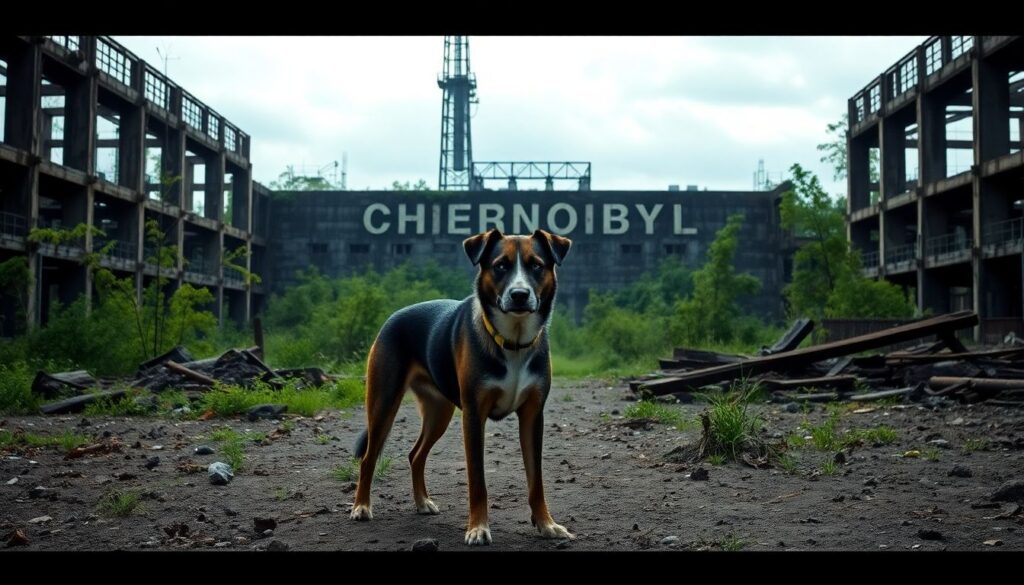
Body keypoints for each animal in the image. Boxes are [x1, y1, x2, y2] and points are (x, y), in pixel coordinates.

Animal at [350, 227, 577, 545]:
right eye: (500, 266)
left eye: (536, 265)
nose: (519, 295)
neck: (513, 342)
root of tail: (393, 317)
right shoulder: (473, 415)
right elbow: (477, 481)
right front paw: (478, 528)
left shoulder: (533, 415)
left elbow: (537, 480)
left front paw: (546, 524)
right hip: (383, 403)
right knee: (369, 458)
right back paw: (361, 506)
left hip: (439, 412)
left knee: (415, 455)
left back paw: (422, 502)